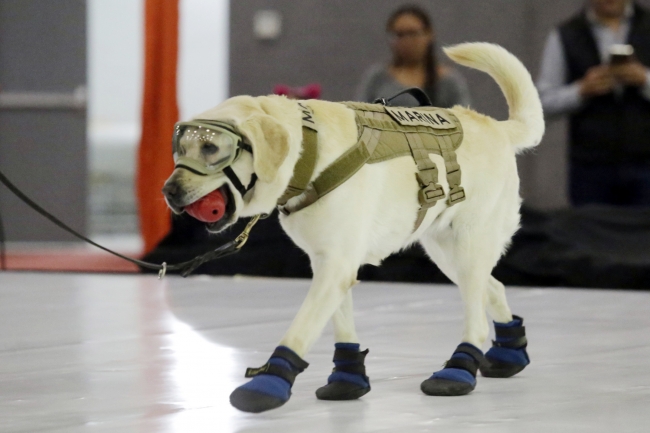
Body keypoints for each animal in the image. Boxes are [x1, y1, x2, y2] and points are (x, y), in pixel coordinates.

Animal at [162, 43, 540, 412]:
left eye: (211, 147)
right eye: (181, 148)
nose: (169, 191)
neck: (308, 154)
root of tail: (497, 127)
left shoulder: (336, 266)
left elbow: (300, 330)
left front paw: (269, 382)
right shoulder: (329, 261)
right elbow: (341, 325)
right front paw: (347, 379)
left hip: (467, 244)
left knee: (477, 316)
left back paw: (459, 369)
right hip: (447, 252)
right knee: (494, 287)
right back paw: (509, 353)